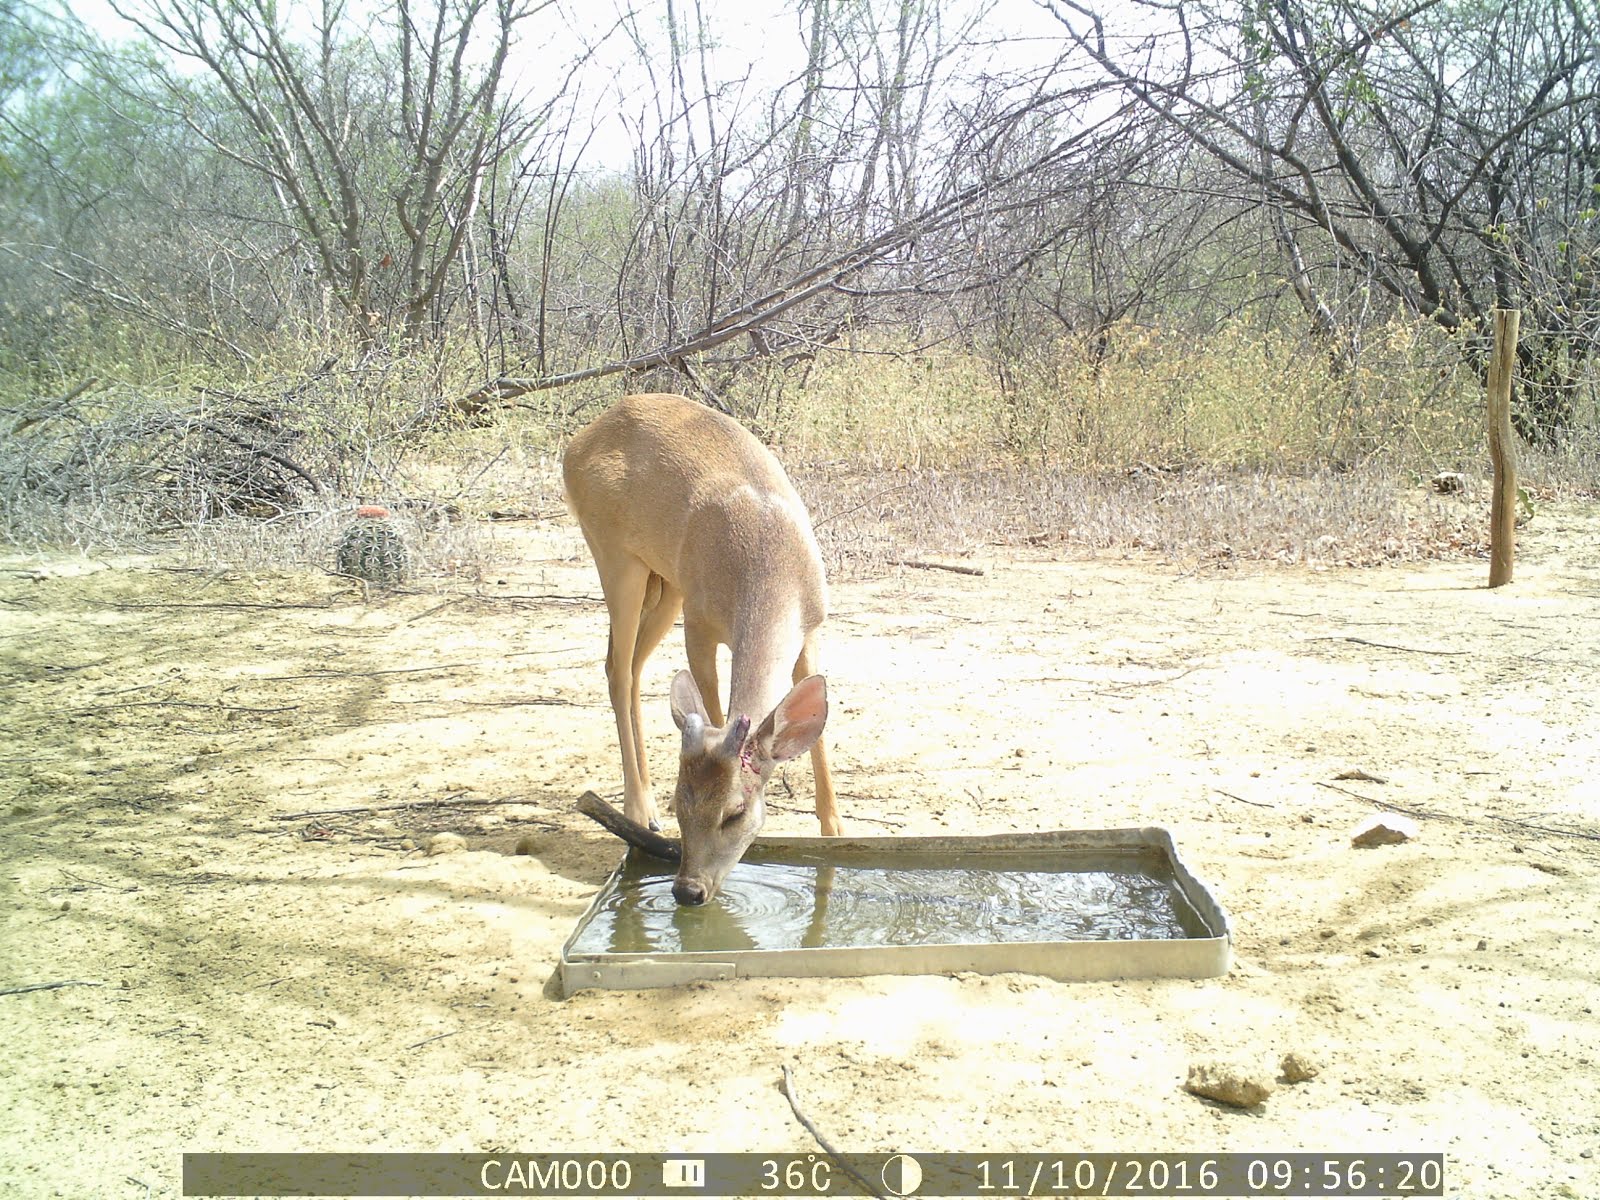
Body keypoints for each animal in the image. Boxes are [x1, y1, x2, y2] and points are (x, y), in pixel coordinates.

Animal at [560, 400, 838, 908]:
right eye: (683, 804)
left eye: (735, 812)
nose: (688, 890)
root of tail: (579, 440)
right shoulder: (700, 623)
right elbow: (715, 710)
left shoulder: (811, 629)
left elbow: (820, 739)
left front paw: (836, 833)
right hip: (617, 557)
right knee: (617, 669)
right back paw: (638, 807)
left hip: (664, 581)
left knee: (631, 664)